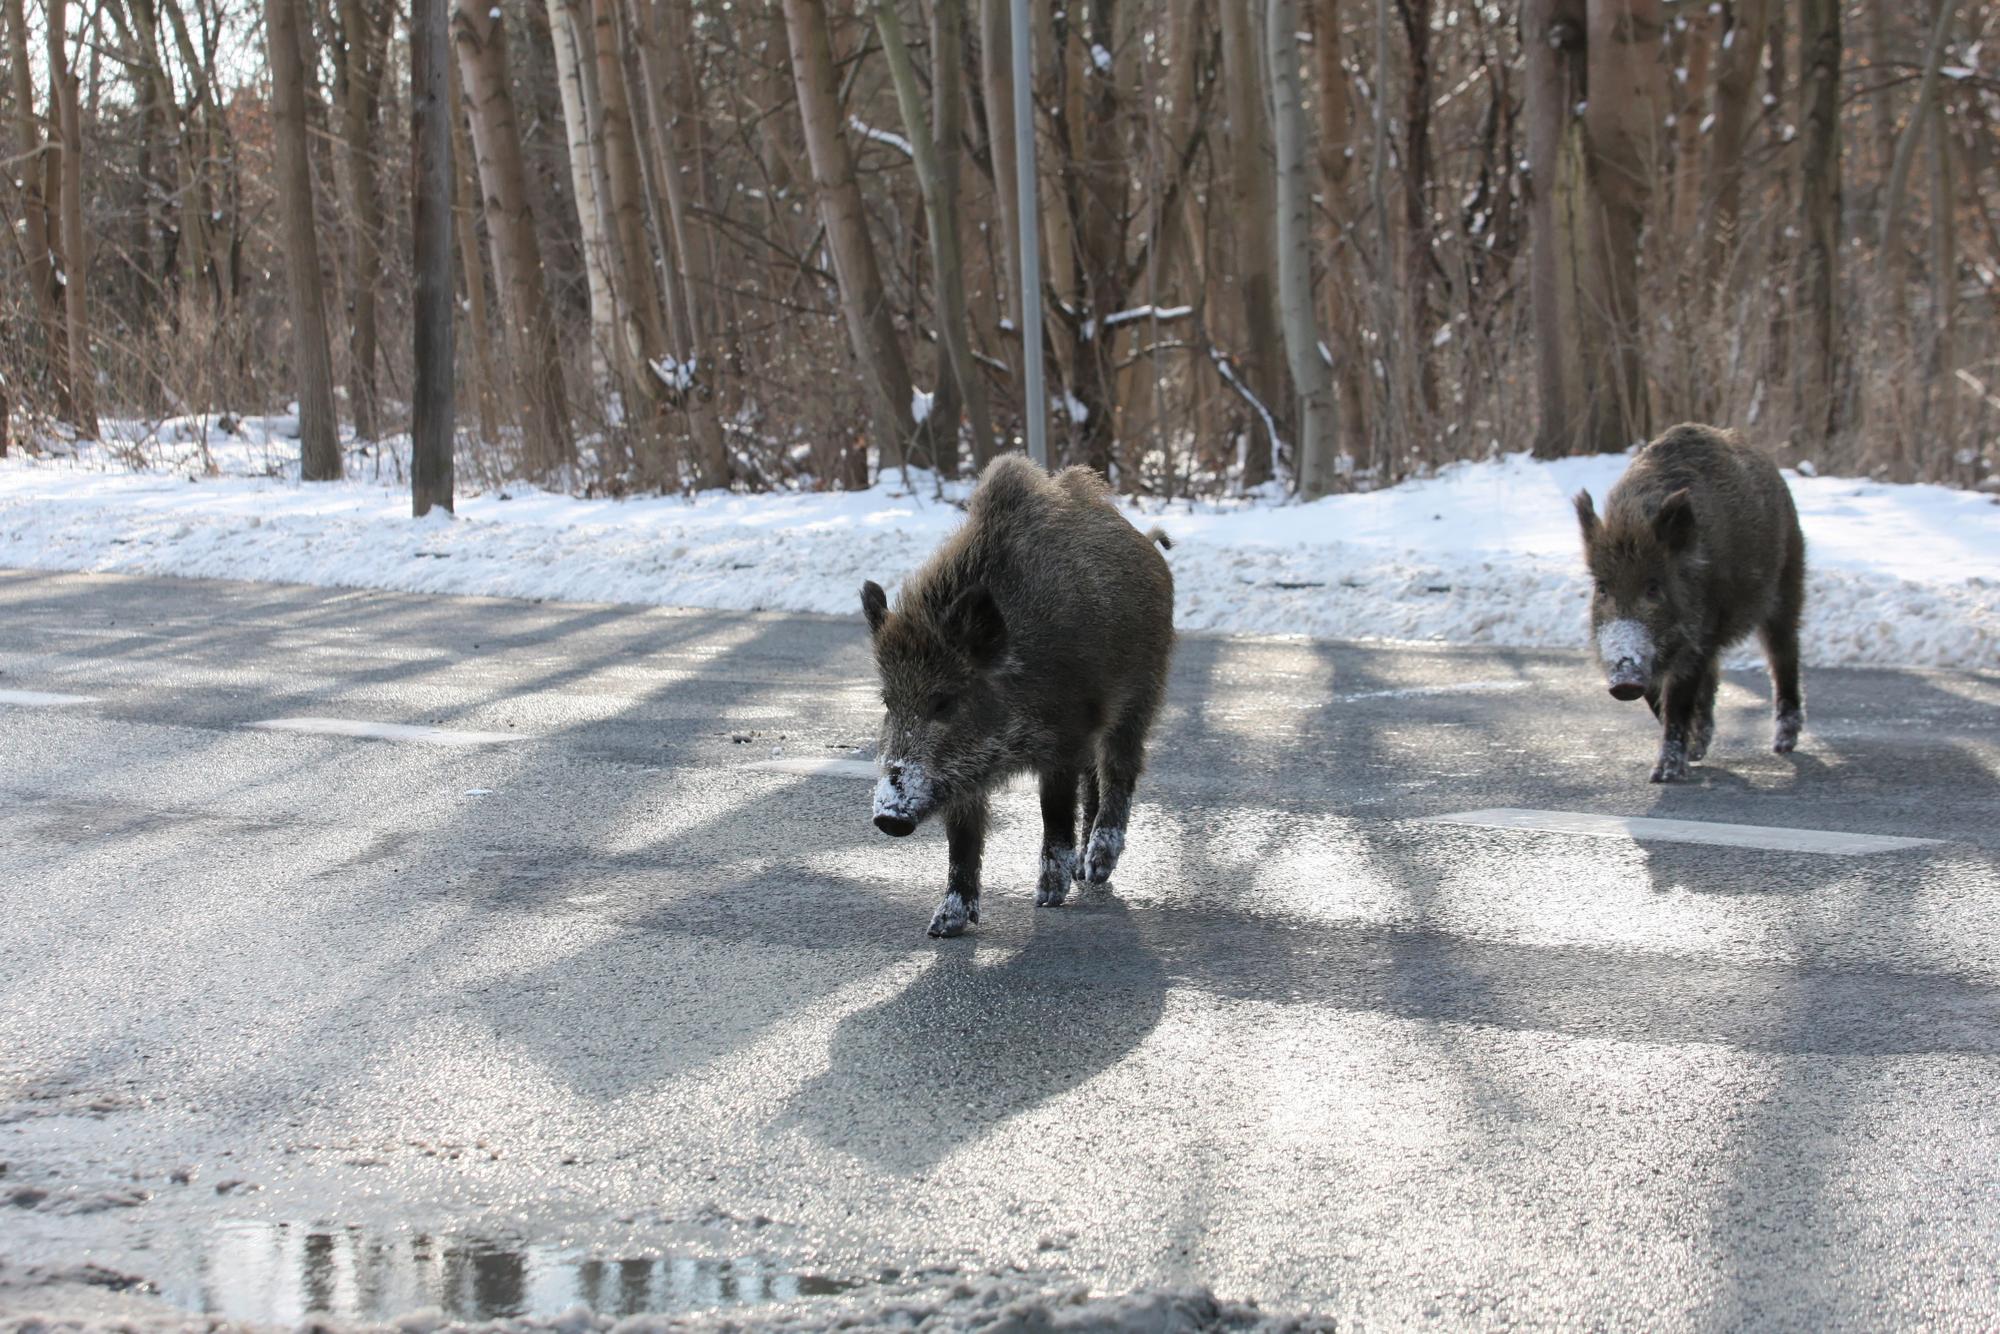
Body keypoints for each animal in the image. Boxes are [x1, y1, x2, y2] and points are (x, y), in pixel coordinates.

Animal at [860, 455, 1175, 937]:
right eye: (887, 702)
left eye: (945, 701)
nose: (888, 817)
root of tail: (1147, 543)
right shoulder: (965, 776)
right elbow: (962, 840)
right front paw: (944, 926)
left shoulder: (1064, 738)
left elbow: (1054, 812)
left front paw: (1047, 899)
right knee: (1094, 783)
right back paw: (1085, 870)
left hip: (1141, 695)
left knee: (1119, 772)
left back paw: (1097, 866)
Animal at [1573, 423, 1806, 783]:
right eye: (1602, 588)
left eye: (1654, 588)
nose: (1624, 680)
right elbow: (1658, 699)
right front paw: (1693, 753)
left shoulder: (1697, 636)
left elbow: (1677, 700)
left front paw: (1665, 775)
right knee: (1715, 676)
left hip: (1787, 582)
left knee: (1784, 655)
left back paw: (1783, 744)